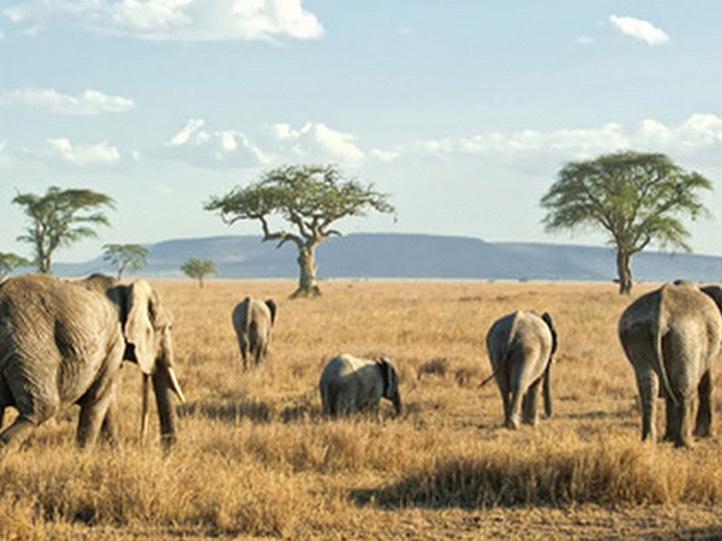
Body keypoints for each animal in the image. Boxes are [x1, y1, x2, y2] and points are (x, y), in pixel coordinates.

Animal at [0, 273, 185, 456]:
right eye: (165, 328)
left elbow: (108, 400)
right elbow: (98, 397)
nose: (166, 454)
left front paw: (114, 455)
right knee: (42, 408)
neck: (127, 290)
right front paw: (82, 458)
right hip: (29, 342)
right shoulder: (115, 342)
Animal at [618, 281, 722, 447]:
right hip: (686, 335)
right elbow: (706, 380)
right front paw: (705, 435)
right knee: (684, 386)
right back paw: (686, 444)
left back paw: (648, 440)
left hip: (637, 331)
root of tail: (659, 314)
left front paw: (668, 438)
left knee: (648, 386)